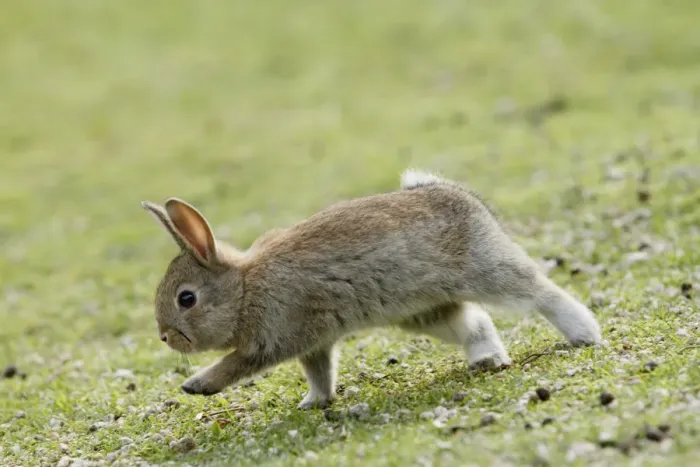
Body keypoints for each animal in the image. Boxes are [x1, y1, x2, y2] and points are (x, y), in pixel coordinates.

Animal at [141, 169, 601, 409]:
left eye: (187, 298)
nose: (164, 337)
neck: (245, 289)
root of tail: (452, 192)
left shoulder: (273, 338)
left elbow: (236, 365)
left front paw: (197, 385)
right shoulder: (314, 342)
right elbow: (320, 373)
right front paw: (314, 403)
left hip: (487, 271)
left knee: (540, 291)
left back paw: (584, 333)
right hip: (424, 312)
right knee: (474, 323)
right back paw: (487, 361)